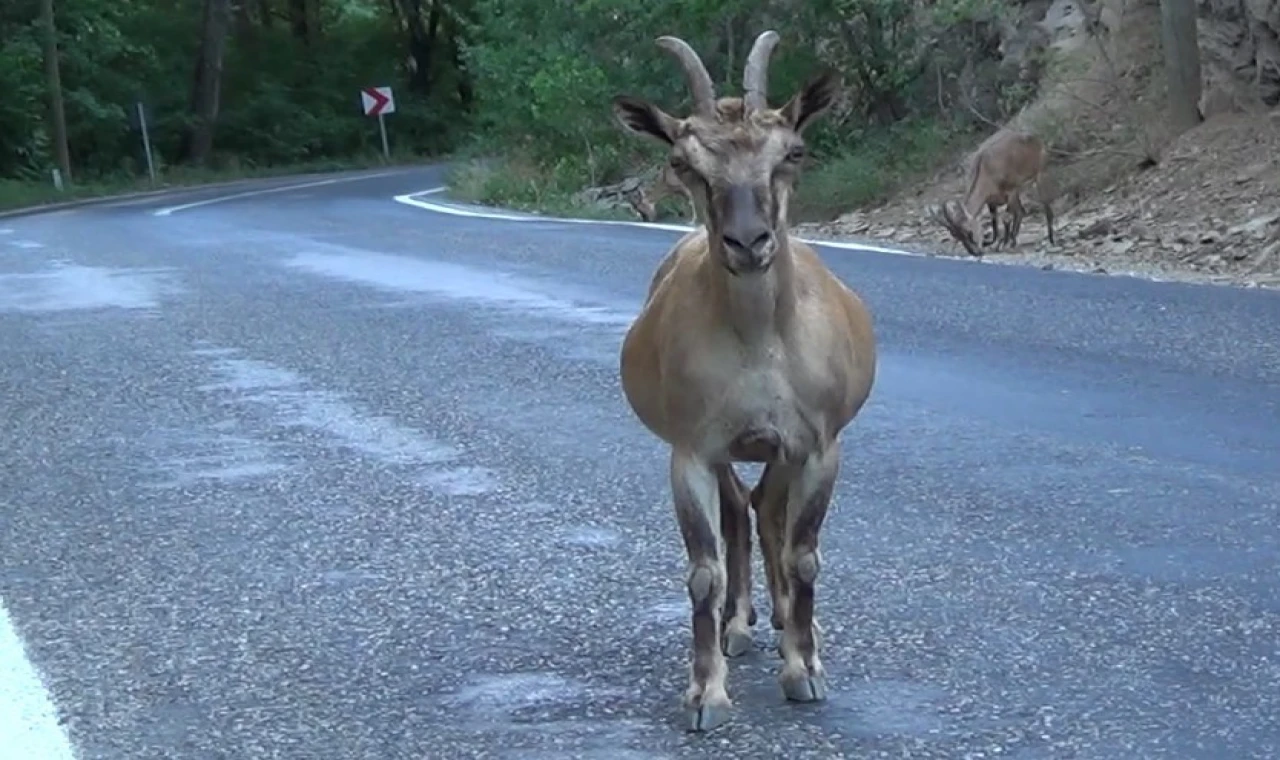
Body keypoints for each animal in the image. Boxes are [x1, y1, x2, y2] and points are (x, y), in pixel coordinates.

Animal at [611, 31, 880, 731]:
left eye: (793, 152)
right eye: (683, 161)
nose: (748, 242)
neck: (761, 344)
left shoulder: (815, 444)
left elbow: (803, 553)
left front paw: (805, 671)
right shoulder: (693, 448)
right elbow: (702, 571)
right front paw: (705, 694)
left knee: (765, 510)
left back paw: (784, 619)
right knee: (741, 509)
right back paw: (739, 622)